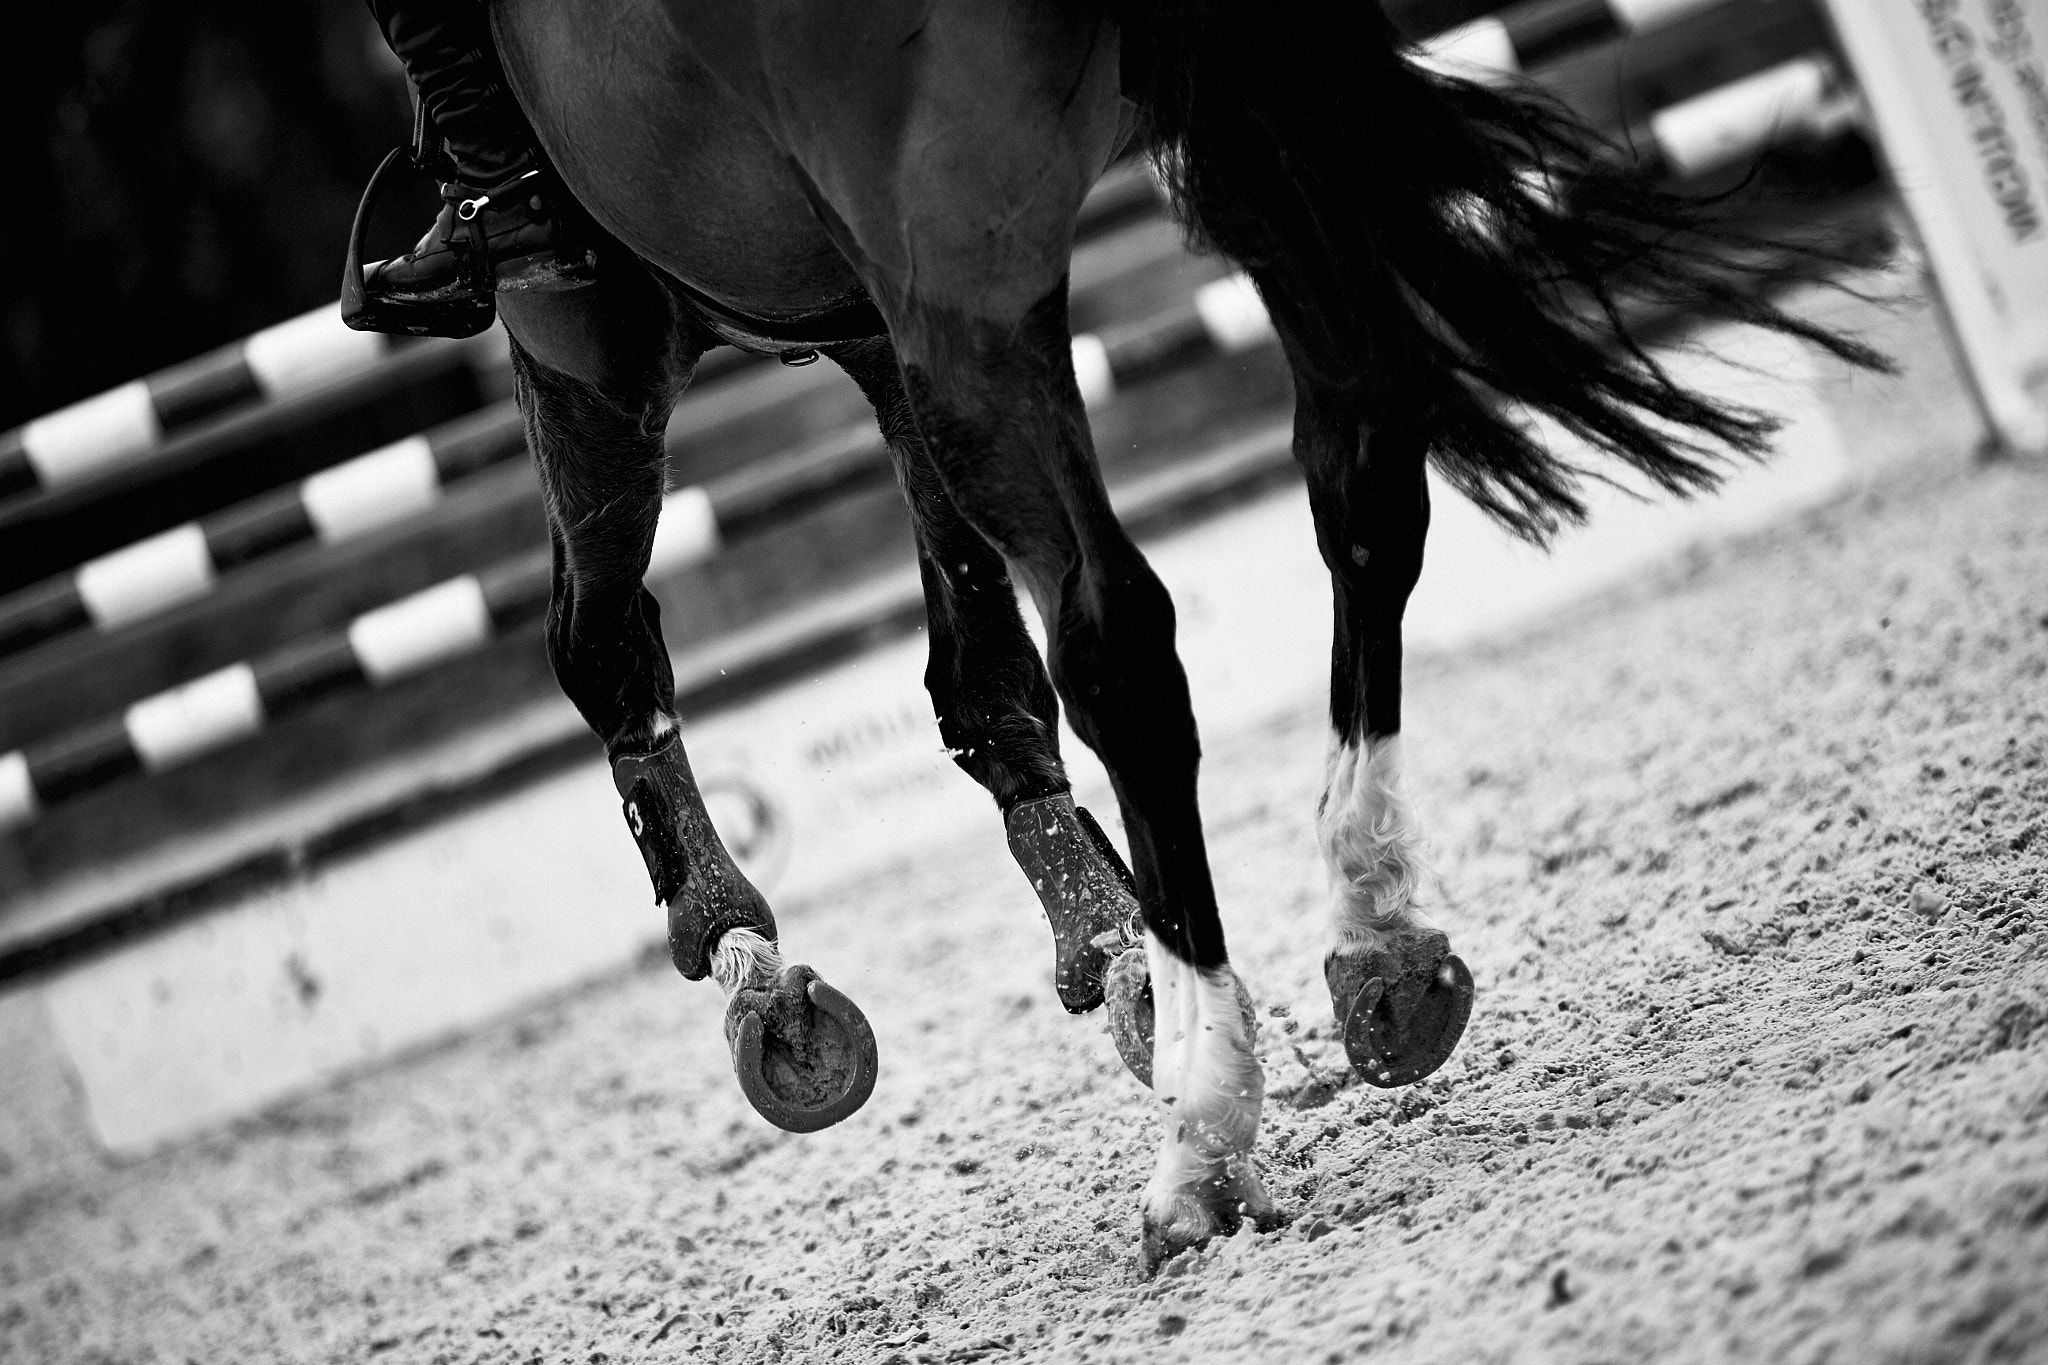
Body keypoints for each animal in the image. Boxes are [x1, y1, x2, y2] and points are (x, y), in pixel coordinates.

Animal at [478, 0, 1881, 1270]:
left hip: (952, 250)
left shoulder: (594, 324)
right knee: (1364, 476)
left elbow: (600, 645)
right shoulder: (863, 315)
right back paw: (1374, 945)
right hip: (1243, 149)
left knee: (1119, 645)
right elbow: (974, 674)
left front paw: (736, 947)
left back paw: (1202, 1136)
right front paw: (1100, 936)